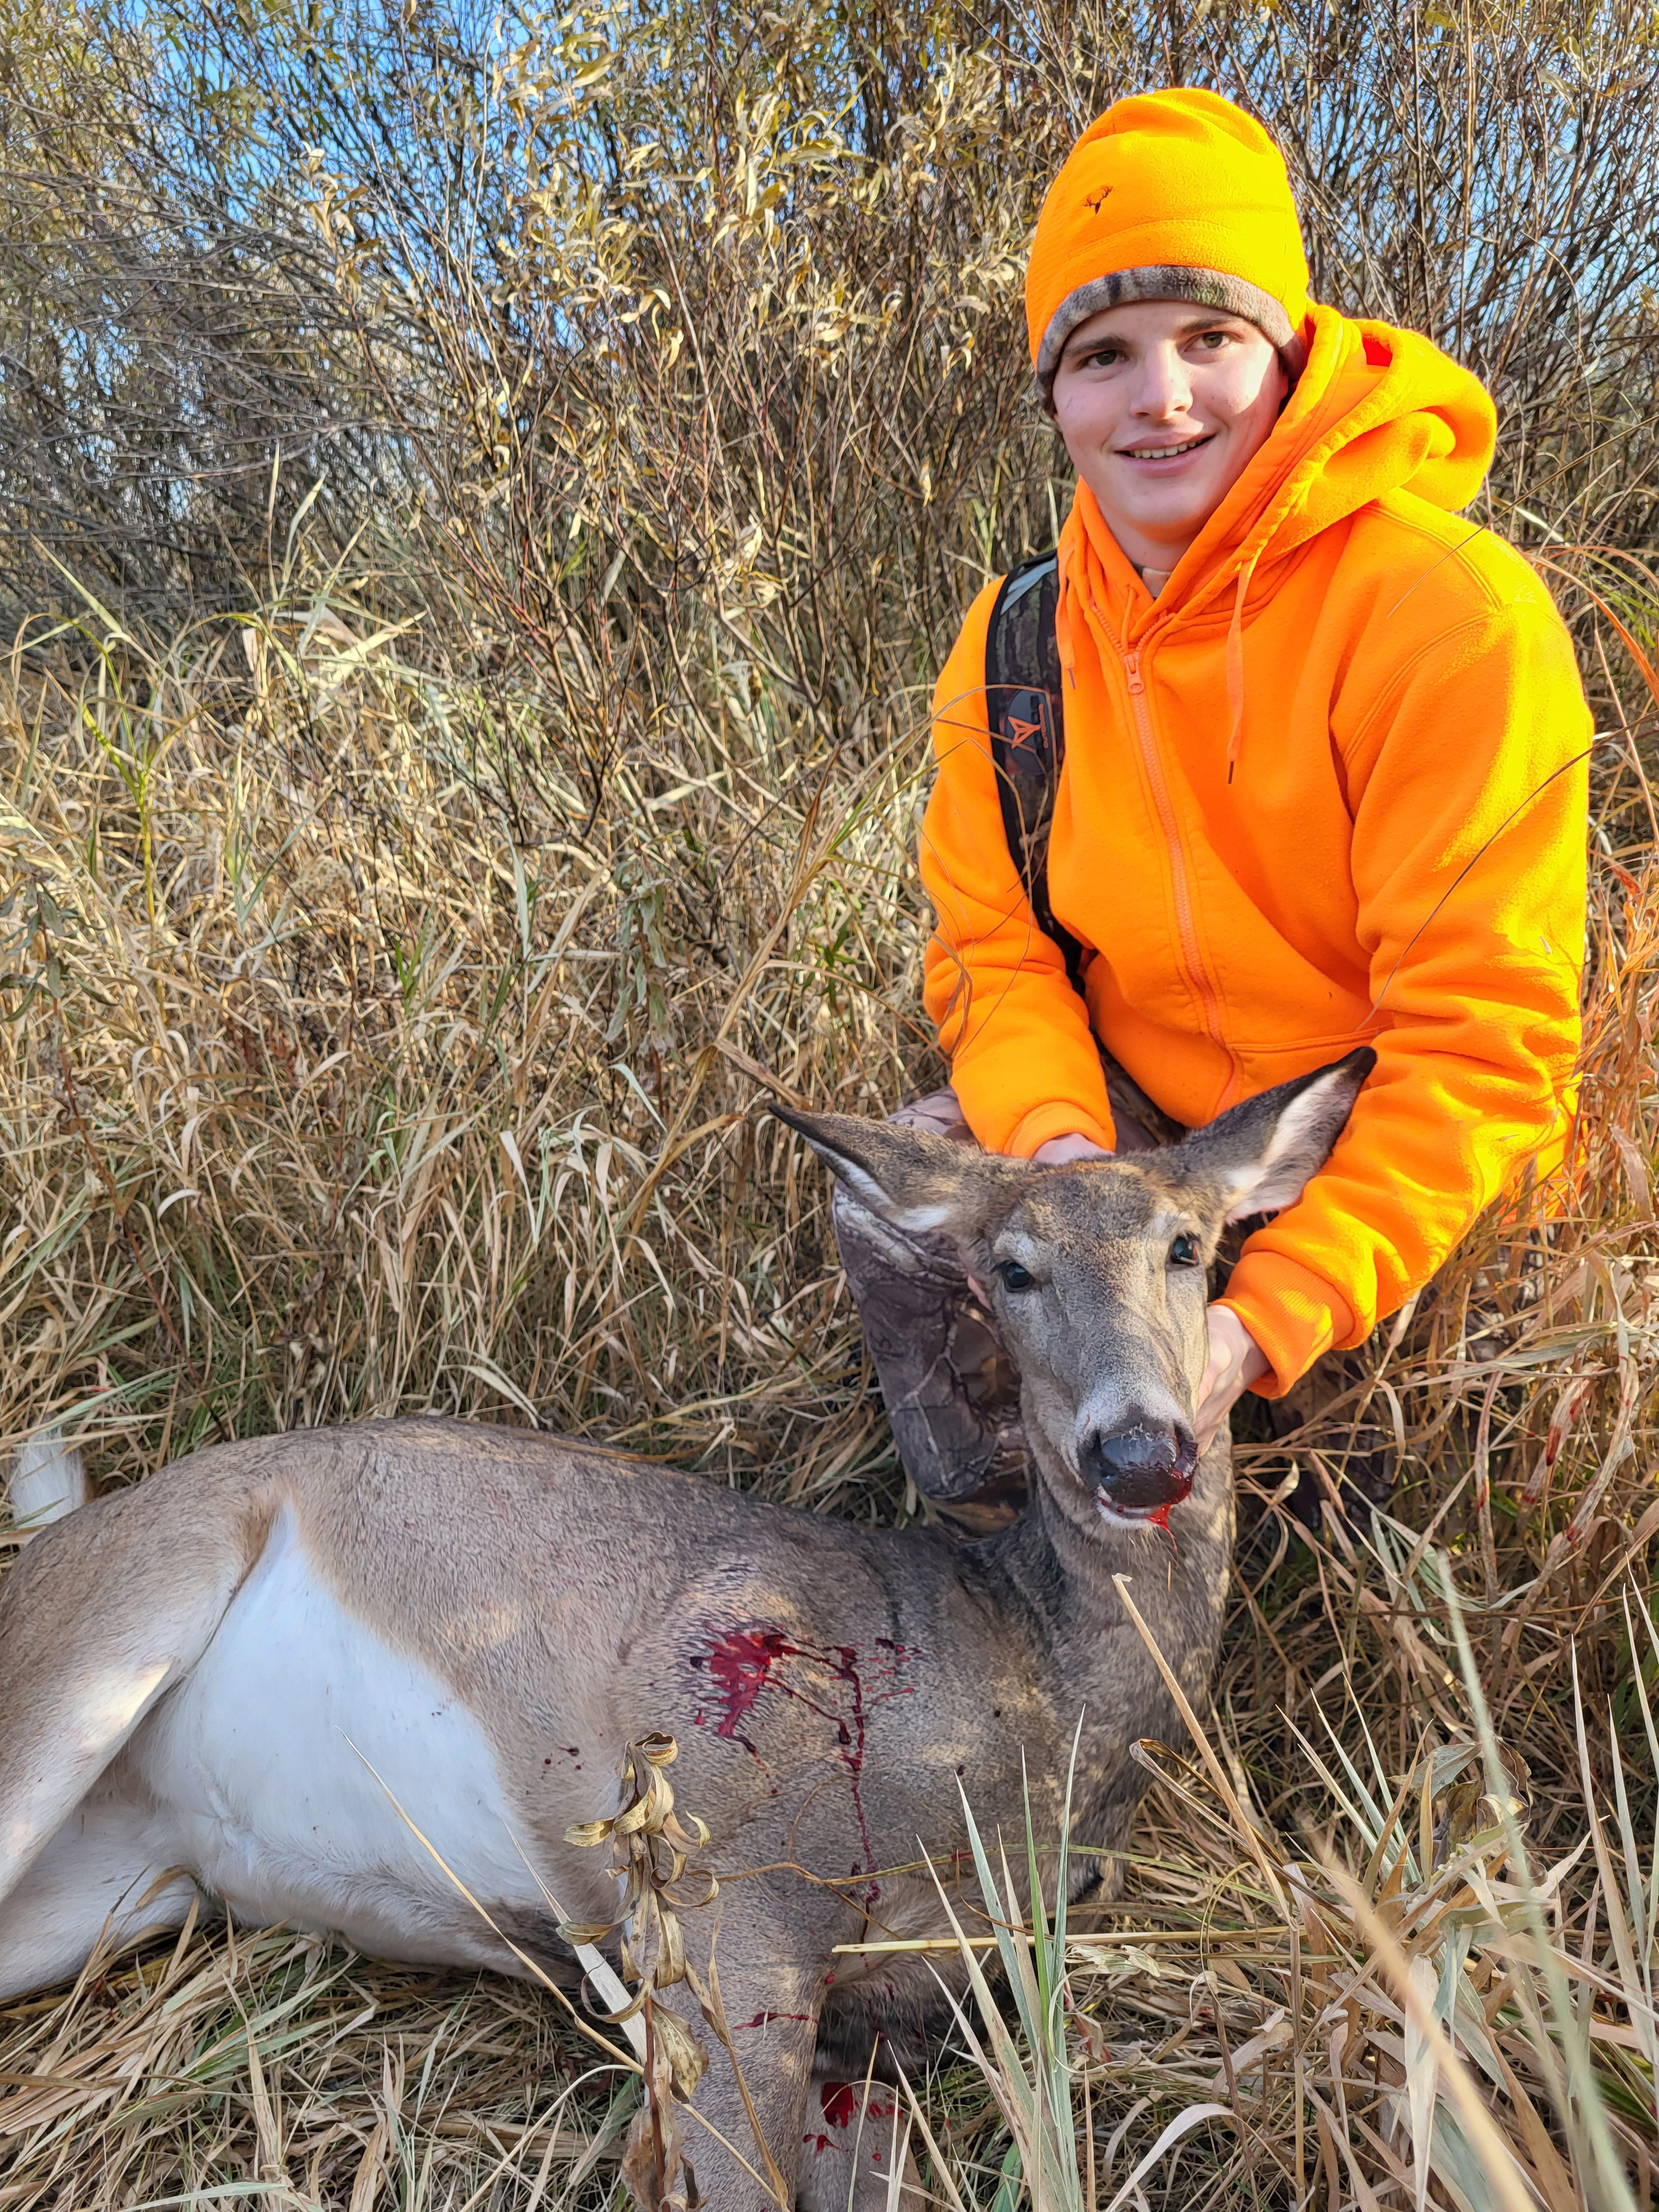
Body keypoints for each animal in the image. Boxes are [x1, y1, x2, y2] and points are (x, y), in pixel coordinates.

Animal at [0, 1051, 1372, 2212]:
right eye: (1013, 1268)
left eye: (1189, 1245)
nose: (1138, 1451)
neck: (1020, 1695)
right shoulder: (722, 1878)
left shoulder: (886, 2029)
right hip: (121, 1616)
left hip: (126, 1883)